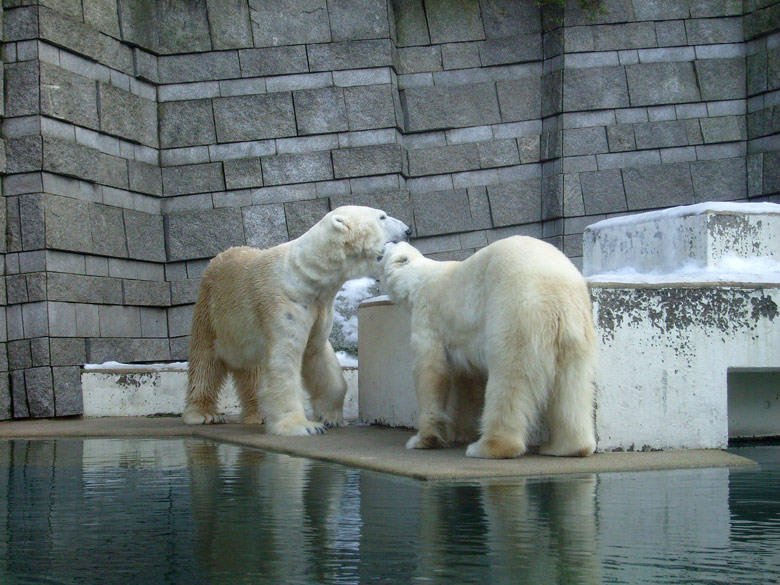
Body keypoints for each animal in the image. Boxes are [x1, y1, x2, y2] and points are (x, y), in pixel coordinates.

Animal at [184, 205, 412, 434]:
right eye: (382, 217)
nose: (408, 230)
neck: (305, 275)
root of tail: (220, 255)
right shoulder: (284, 303)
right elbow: (284, 360)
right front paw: (303, 426)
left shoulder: (319, 306)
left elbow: (318, 355)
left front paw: (330, 417)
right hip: (211, 311)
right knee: (205, 362)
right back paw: (204, 414)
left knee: (251, 370)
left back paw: (258, 415)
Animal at [382, 236, 596, 456]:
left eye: (390, 248)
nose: (387, 242)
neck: (418, 280)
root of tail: (557, 290)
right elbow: (468, 378)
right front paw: (462, 432)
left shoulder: (428, 315)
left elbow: (431, 371)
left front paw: (423, 440)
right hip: (576, 327)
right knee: (572, 385)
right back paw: (567, 447)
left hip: (514, 309)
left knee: (509, 377)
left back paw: (488, 447)